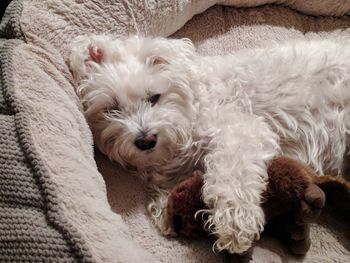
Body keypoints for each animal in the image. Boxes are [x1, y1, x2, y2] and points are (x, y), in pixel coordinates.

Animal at [69, 35, 350, 256]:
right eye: (112, 109)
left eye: (154, 98)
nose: (145, 141)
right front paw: (167, 209)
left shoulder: (242, 130)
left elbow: (232, 177)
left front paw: (235, 225)